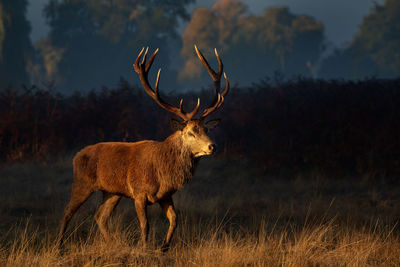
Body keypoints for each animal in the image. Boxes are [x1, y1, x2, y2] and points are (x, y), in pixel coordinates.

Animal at [57, 46, 230, 251]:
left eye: (206, 129)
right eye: (190, 132)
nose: (212, 146)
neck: (163, 172)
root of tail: (76, 156)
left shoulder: (165, 195)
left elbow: (174, 219)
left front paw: (164, 247)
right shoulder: (139, 193)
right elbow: (145, 224)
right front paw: (145, 248)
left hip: (112, 192)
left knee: (100, 216)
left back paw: (112, 244)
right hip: (82, 182)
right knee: (67, 211)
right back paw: (58, 245)